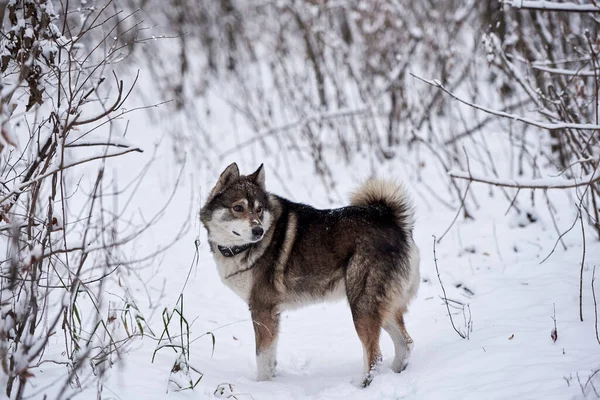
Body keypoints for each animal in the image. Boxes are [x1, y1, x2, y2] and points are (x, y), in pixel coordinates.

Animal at [199, 162, 420, 388]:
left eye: (259, 210)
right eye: (238, 208)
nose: (258, 231)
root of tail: (391, 219)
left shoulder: (262, 310)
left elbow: (262, 357)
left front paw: (263, 386)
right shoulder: (272, 314)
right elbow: (270, 357)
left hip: (362, 306)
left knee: (375, 356)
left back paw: (360, 386)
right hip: (383, 308)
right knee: (406, 344)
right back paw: (395, 374)